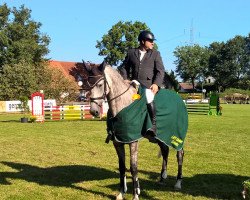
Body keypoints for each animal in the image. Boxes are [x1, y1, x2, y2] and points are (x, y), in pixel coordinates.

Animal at [77, 61, 187, 200]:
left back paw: (178, 182)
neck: (123, 105)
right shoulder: (117, 142)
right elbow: (122, 166)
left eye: (100, 84)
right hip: (160, 136)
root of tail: (178, 97)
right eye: (87, 86)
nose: (94, 111)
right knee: (165, 151)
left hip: (177, 135)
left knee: (180, 154)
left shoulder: (132, 141)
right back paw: (162, 178)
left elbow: (133, 167)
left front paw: (136, 195)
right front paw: (121, 193)